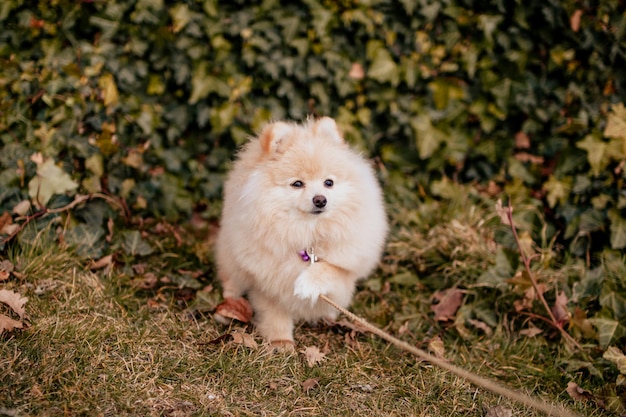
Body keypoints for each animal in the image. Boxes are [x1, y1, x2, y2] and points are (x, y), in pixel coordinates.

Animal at [217, 116, 388, 344]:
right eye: (297, 184)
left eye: (328, 183)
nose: (320, 199)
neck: (306, 232)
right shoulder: (266, 280)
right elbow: (275, 313)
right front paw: (281, 342)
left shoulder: (348, 269)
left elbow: (331, 268)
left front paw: (309, 282)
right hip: (230, 255)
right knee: (231, 279)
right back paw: (228, 308)